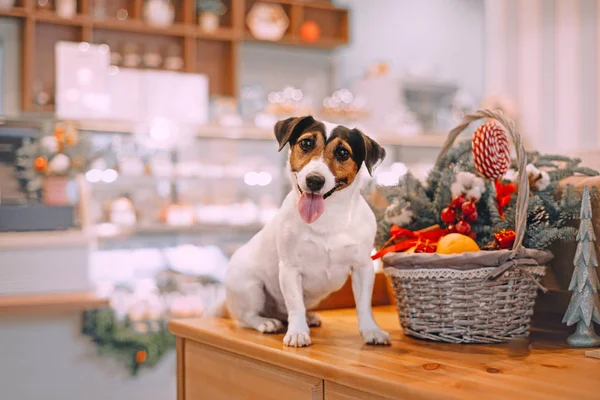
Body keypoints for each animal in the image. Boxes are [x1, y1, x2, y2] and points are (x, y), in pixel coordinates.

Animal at [209, 115, 392, 346]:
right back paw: (266, 322)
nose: (314, 180)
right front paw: (297, 332)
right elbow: (295, 304)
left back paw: (307, 317)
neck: (328, 218)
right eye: (306, 143)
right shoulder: (290, 268)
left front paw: (371, 330)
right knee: (246, 317)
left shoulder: (363, 267)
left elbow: (364, 304)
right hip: (251, 288)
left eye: (343, 152)